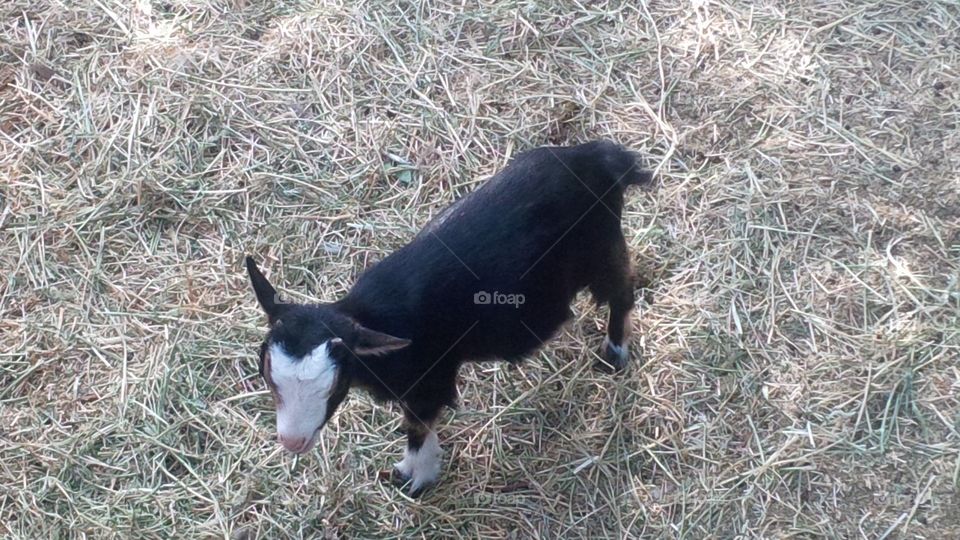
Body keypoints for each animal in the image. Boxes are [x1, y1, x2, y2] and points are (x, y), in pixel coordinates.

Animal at [245, 140, 653, 496]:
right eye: (269, 377)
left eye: (332, 386)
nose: (292, 441)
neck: (377, 324)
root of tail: (599, 156)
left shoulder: (430, 379)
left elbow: (417, 427)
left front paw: (415, 478)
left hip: (601, 249)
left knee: (621, 290)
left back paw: (614, 353)